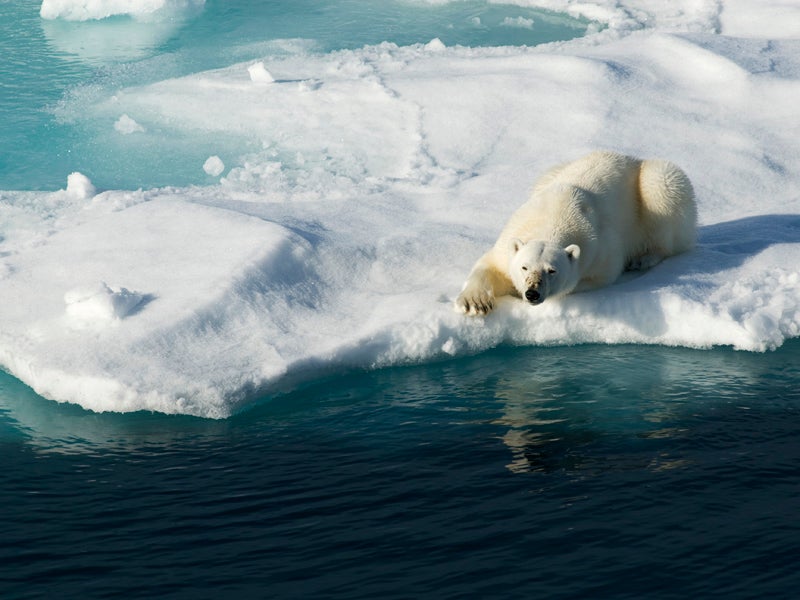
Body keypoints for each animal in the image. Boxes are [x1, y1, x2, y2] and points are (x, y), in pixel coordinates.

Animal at [456, 151, 692, 314]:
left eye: (552, 270)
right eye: (524, 267)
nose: (532, 293)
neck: (553, 217)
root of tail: (633, 158)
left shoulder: (601, 250)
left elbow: (594, 277)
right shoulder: (511, 237)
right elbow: (490, 265)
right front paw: (474, 303)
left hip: (656, 186)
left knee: (662, 194)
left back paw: (644, 257)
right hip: (551, 172)